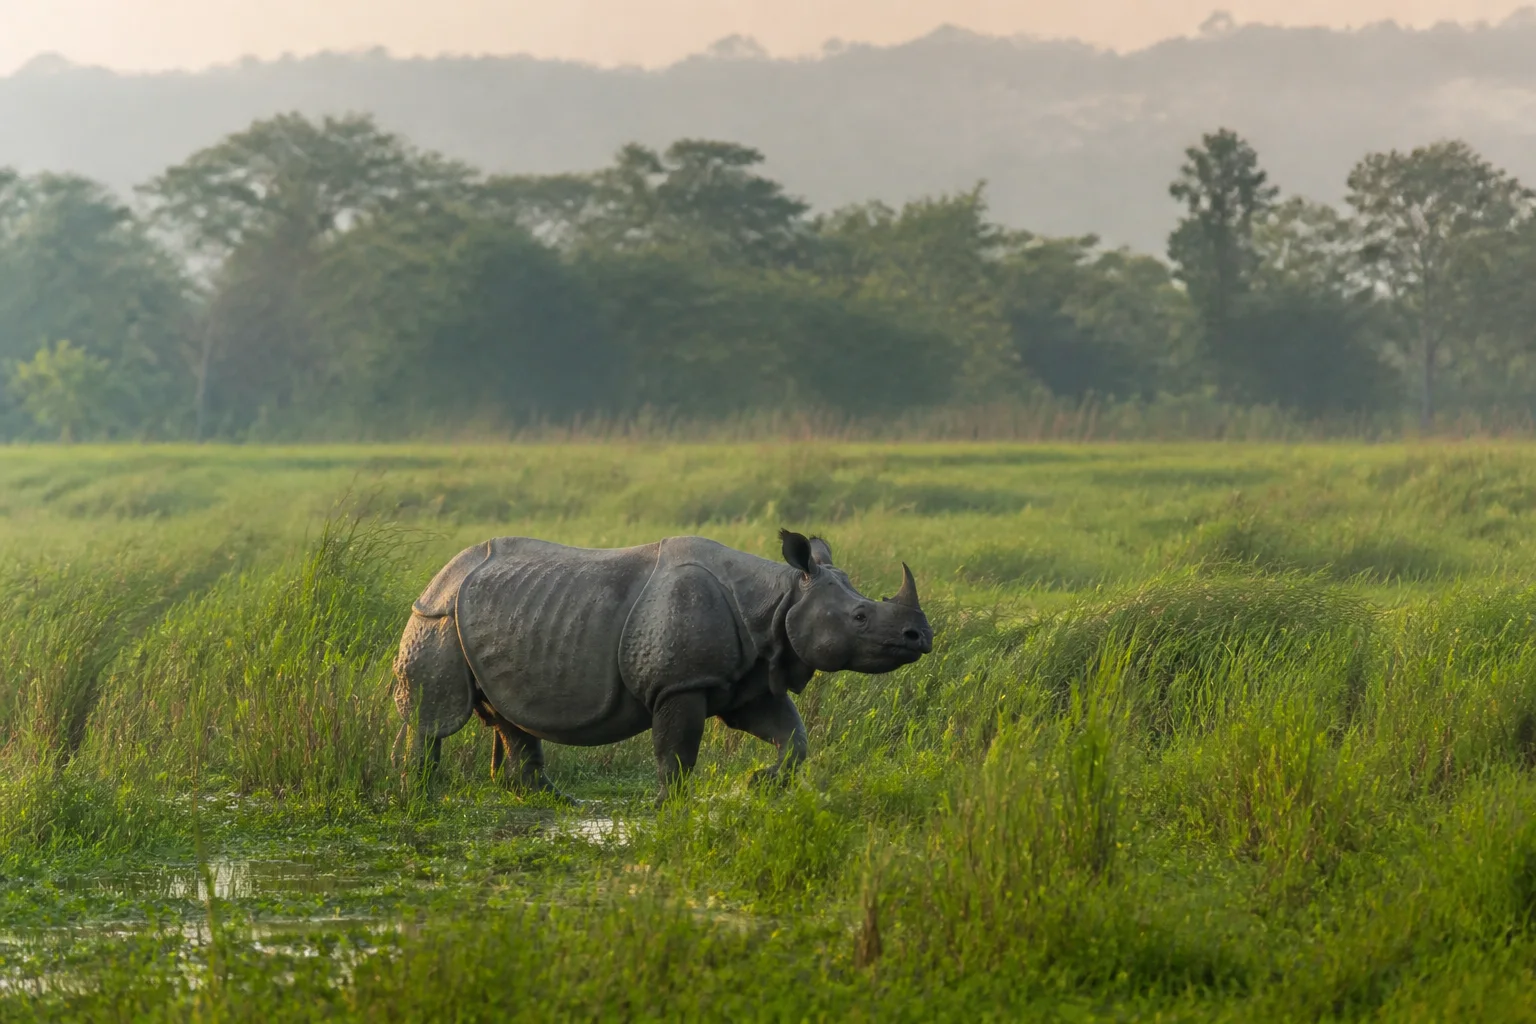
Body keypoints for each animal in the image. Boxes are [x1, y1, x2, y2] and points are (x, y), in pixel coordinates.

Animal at [392, 529, 932, 802]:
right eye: (861, 617)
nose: (921, 637)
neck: (778, 597)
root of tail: (440, 574)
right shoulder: (680, 683)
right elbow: (676, 751)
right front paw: (669, 808)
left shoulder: (749, 680)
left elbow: (792, 737)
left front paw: (759, 782)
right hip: (438, 616)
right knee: (436, 715)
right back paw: (420, 799)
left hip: (495, 612)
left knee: (510, 714)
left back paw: (556, 802)